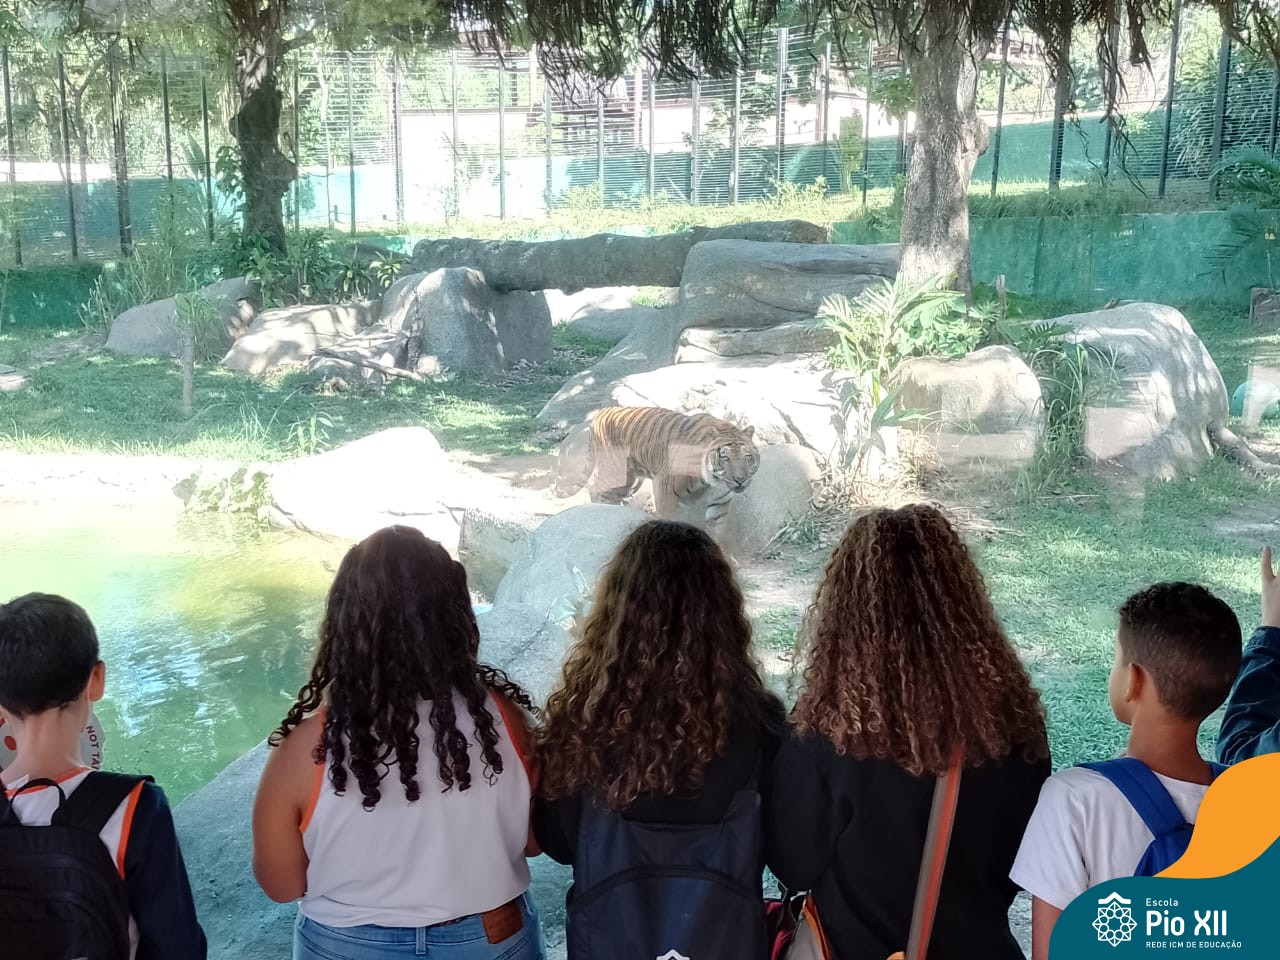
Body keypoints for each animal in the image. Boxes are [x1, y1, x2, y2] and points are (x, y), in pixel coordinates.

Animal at [552, 406, 760, 536]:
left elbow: (718, 532)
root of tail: (600, 412)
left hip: (631, 480)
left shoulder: (720, 505)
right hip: (614, 471)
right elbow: (670, 520)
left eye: (747, 457)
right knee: (595, 488)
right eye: (725, 458)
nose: (740, 480)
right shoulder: (665, 489)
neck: (712, 483)